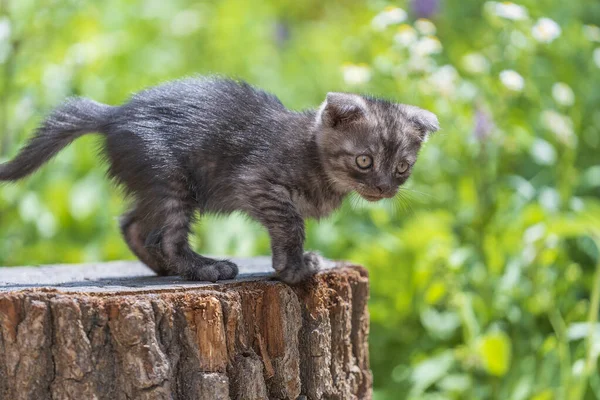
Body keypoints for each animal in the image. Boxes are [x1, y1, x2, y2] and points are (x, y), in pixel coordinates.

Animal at [0, 77, 440, 284]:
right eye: (364, 160)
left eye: (402, 167)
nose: (383, 187)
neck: (313, 153)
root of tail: (113, 113)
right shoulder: (258, 182)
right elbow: (291, 224)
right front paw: (293, 268)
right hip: (171, 178)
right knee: (167, 235)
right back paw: (203, 268)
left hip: (157, 182)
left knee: (132, 224)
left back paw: (165, 269)